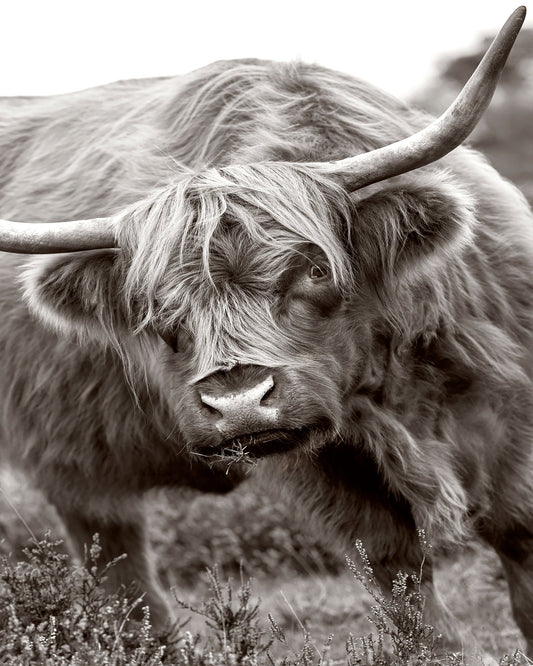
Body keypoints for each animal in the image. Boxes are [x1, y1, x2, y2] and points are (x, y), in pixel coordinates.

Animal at [0, 5, 531, 656]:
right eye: (155, 306)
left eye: (315, 269)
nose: (238, 402)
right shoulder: (332, 473)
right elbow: (404, 584)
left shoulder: (508, 410)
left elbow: (519, 540)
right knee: (122, 573)